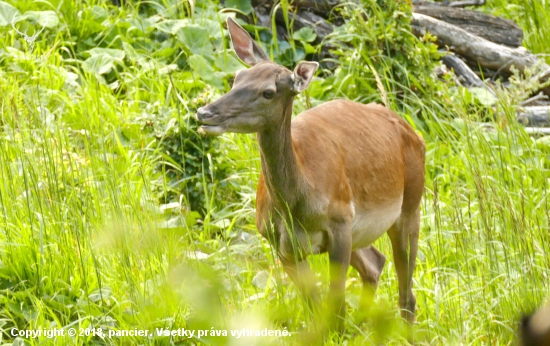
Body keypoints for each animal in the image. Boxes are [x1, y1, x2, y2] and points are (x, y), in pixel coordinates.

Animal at [196, 17, 430, 332]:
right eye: (237, 77)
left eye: (268, 92)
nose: (204, 113)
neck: (297, 204)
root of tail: (413, 133)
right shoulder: (280, 243)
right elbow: (316, 306)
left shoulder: (340, 220)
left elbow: (336, 307)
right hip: (360, 230)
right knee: (375, 263)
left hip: (409, 205)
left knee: (406, 292)